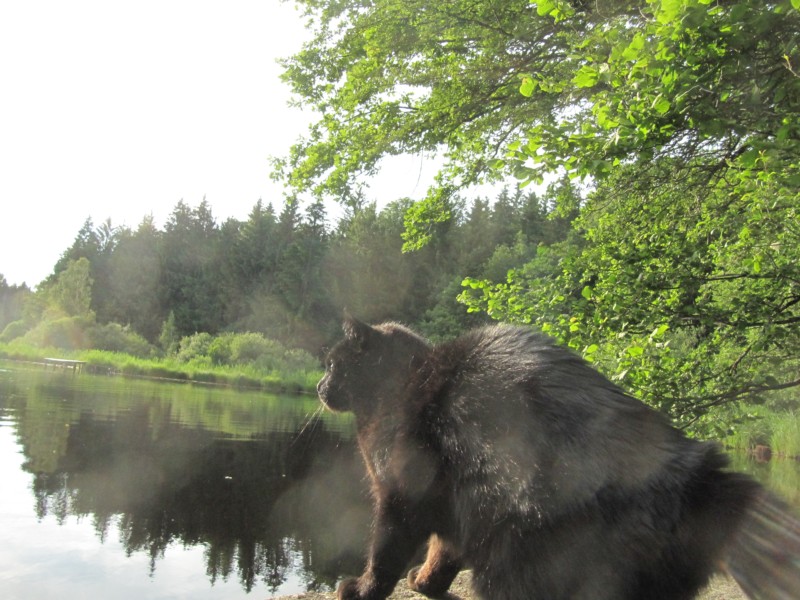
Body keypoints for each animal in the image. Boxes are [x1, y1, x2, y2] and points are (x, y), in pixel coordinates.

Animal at [318, 316, 800, 596]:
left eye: (331, 364)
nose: (320, 386)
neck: (395, 391)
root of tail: (687, 468)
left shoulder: (401, 496)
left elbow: (385, 554)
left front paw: (362, 588)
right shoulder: (451, 507)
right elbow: (443, 552)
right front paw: (425, 583)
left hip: (516, 550)